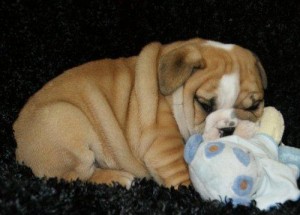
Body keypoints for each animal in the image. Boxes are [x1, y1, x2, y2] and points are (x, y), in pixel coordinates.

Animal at [14, 38, 268, 188]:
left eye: (254, 106)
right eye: (205, 105)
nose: (228, 128)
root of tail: (17, 142)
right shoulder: (163, 142)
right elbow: (178, 168)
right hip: (67, 119)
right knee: (74, 177)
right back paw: (117, 178)